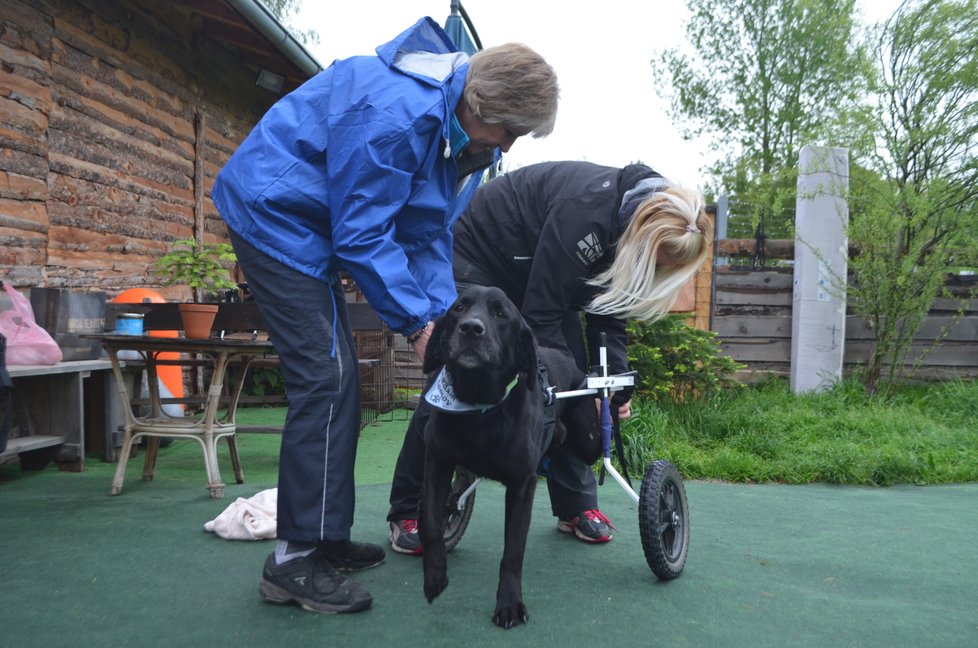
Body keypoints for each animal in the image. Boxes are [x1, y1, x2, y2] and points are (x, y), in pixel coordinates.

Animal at [418, 284, 596, 628]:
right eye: (459, 308)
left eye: (501, 314)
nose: (471, 329)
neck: (480, 409)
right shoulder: (436, 462)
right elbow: (431, 523)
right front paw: (434, 576)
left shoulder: (522, 485)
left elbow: (512, 551)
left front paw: (510, 604)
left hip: (589, 440)